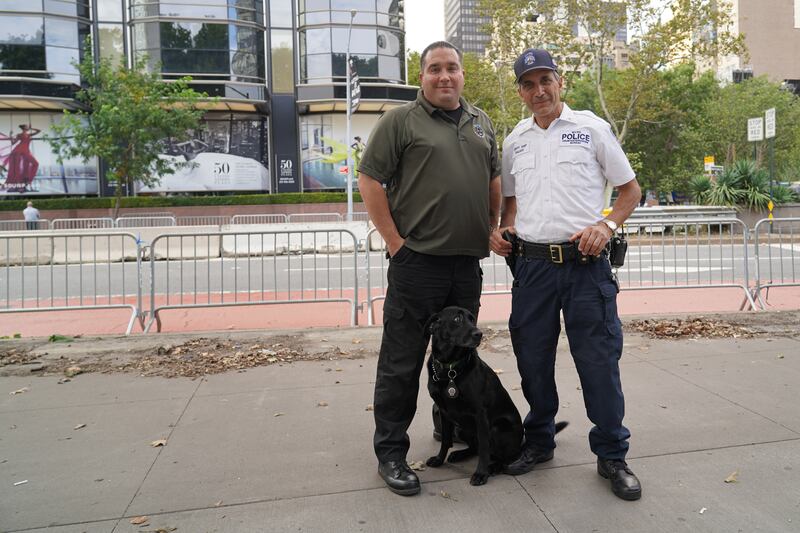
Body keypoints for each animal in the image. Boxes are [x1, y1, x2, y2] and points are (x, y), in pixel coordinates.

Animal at [424, 306, 524, 484]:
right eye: (457, 319)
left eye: (472, 319)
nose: (479, 334)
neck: (449, 368)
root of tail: (520, 444)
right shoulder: (443, 412)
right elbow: (445, 440)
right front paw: (439, 459)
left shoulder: (480, 415)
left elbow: (484, 448)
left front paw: (481, 473)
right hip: (460, 428)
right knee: (475, 448)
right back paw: (459, 454)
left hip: (497, 428)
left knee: (503, 458)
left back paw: (492, 468)